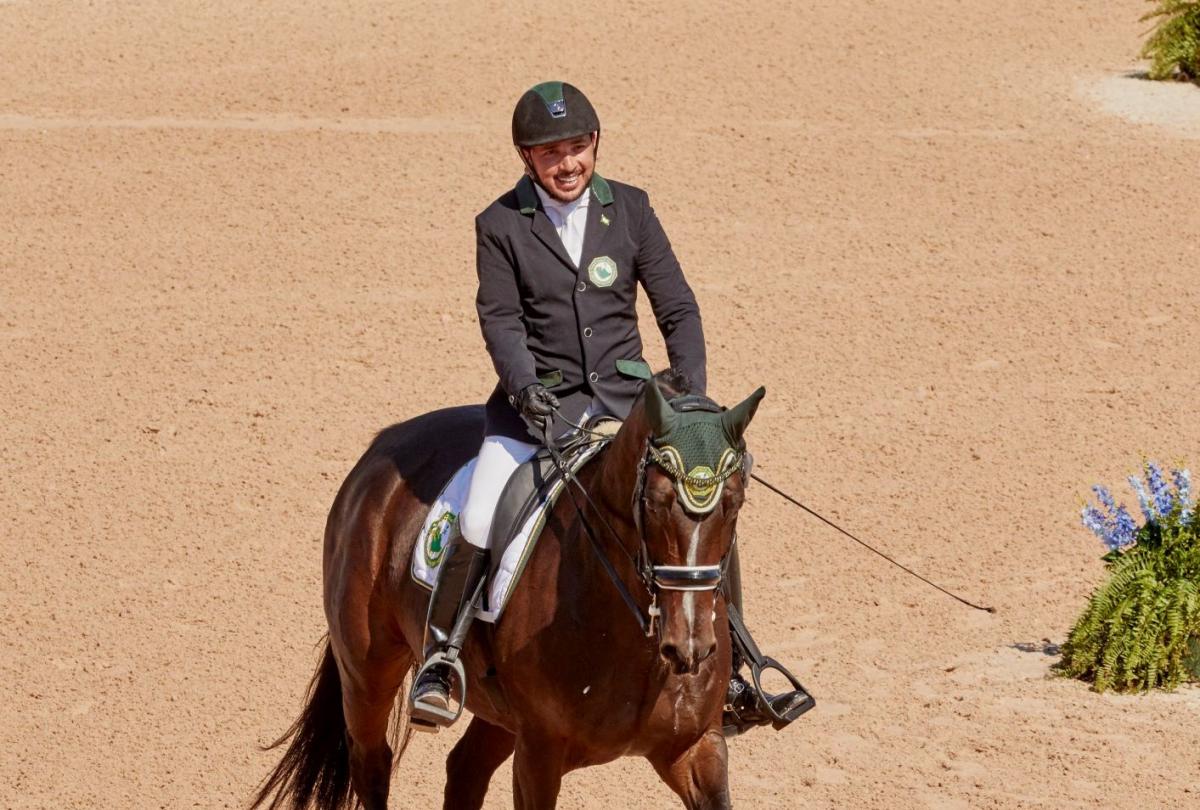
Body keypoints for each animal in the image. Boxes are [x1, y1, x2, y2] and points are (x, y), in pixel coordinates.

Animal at [254, 374, 763, 810]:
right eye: (655, 503)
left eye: (735, 503)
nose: (689, 647)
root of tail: (383, 445)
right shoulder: (539, 751)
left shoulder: (696, 747)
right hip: (367, 668)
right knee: (373, 764)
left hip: (495, 711)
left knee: (464, 768)